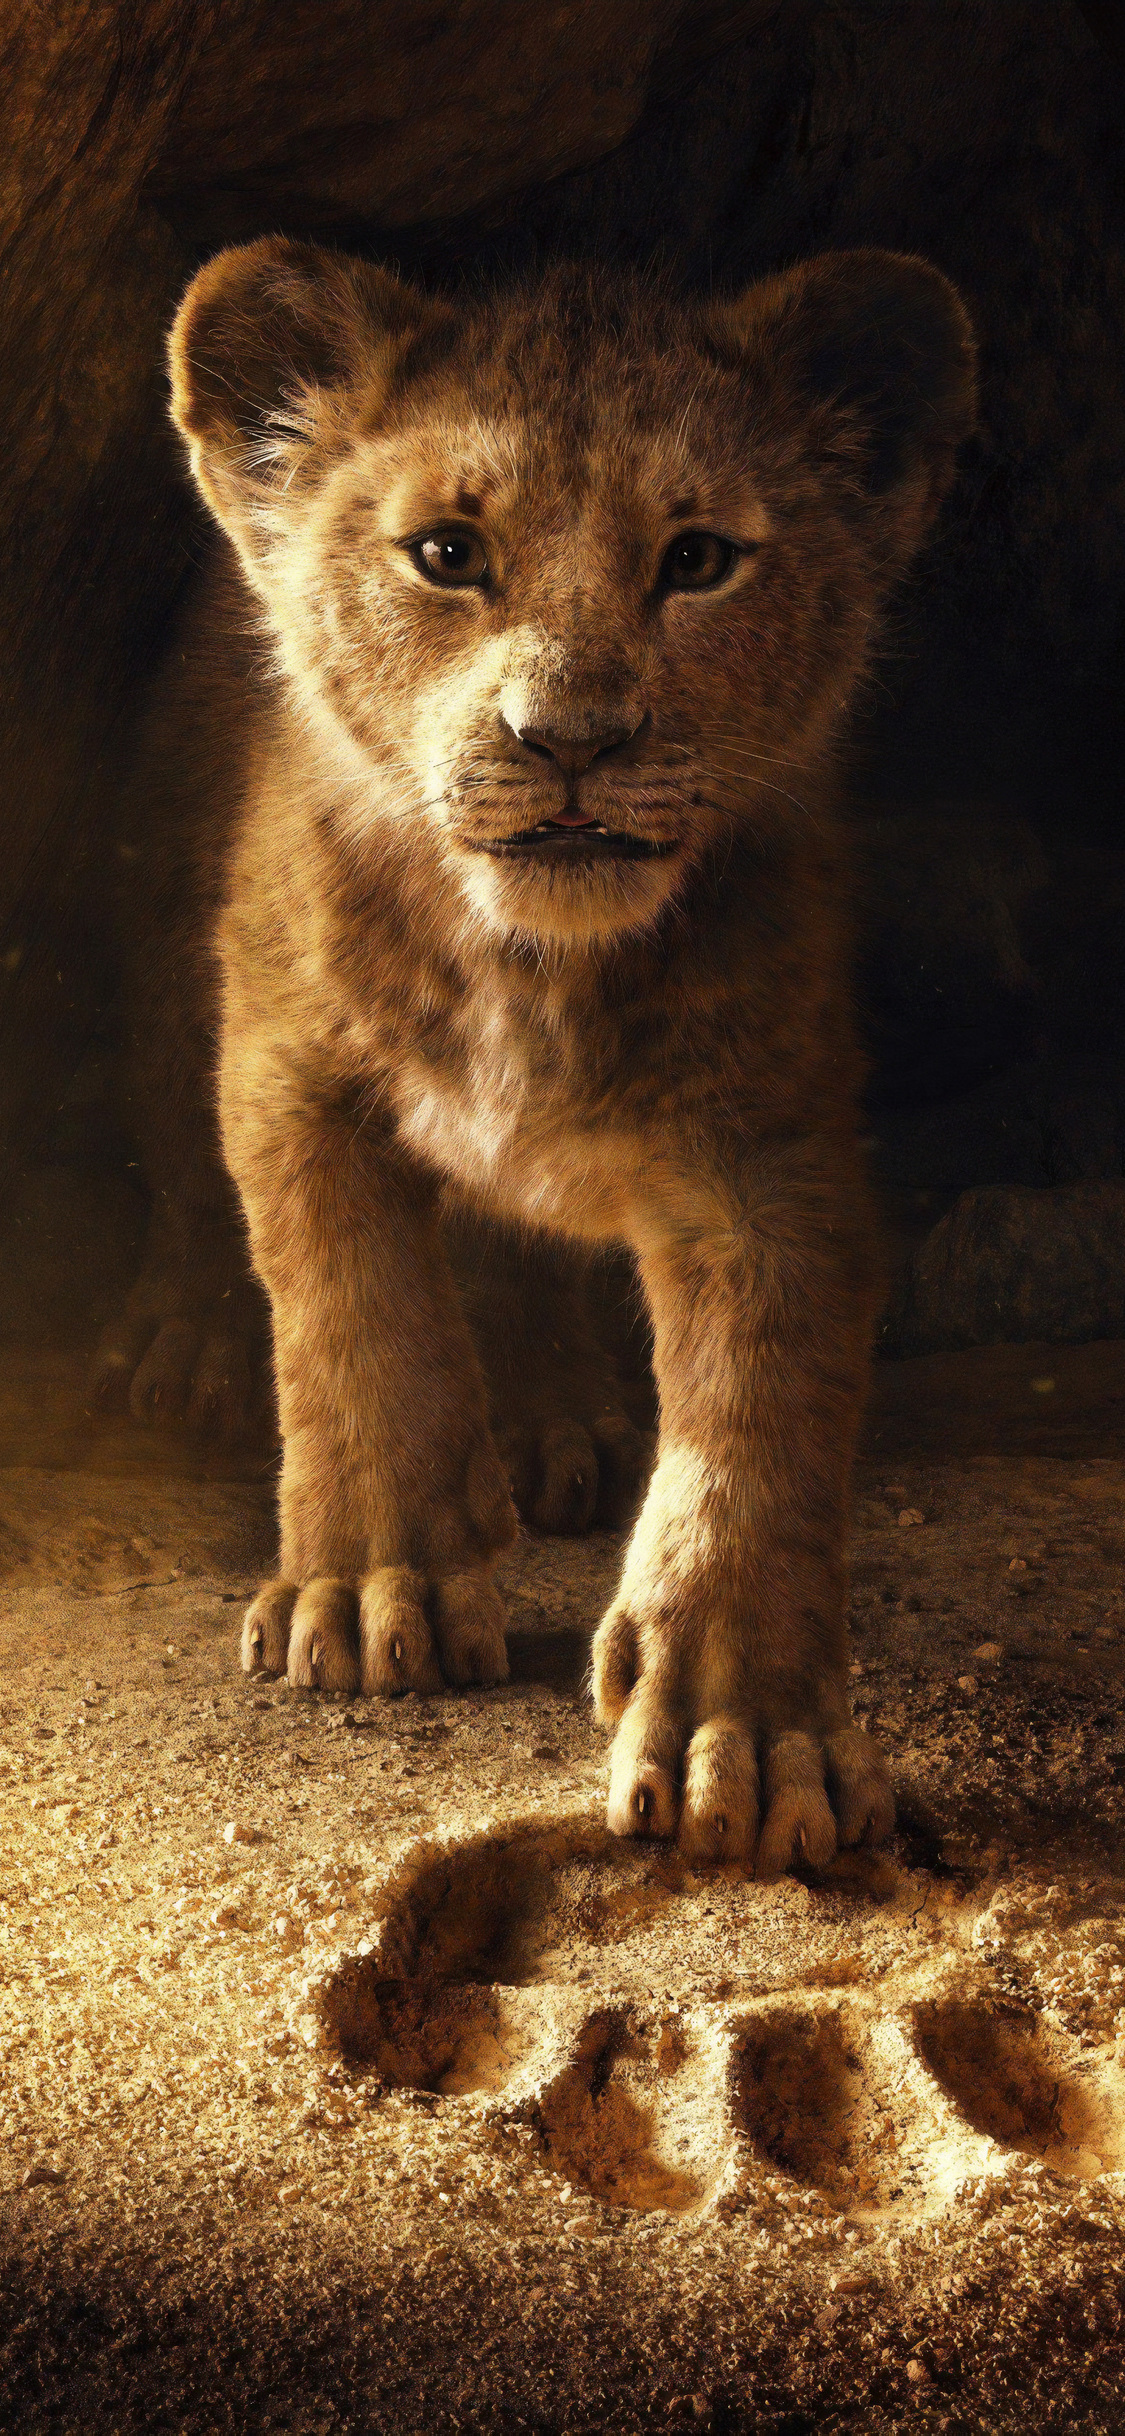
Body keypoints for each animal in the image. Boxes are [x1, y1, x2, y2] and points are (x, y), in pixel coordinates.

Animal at [95, 237, 975, 1872]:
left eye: (698, 560)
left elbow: (757, 1426)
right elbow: (354, 1319)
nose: (570, 738)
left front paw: (744, 1733)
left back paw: (558, 1419)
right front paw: (370, 1590)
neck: (530, 965)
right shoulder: (291, 1066)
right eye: (447, 553)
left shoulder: (770, 1150)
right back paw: (183, 1345)